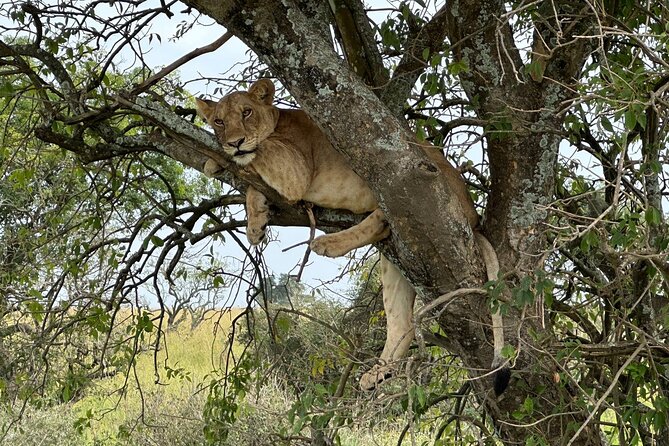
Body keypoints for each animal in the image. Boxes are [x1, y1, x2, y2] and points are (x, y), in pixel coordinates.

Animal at [195, 78, 510, 394]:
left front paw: (222, 159)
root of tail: (473, 215)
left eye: (246, 112)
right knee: (401, 321)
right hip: (399, 257)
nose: (234, 141)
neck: (276, 120)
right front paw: (255, 222)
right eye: (219, 121)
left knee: (382, 219)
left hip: (409, 182)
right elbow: (252, 188)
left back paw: (327, 244)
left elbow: (259, 153)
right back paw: (379, 373)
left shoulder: (294, 171)